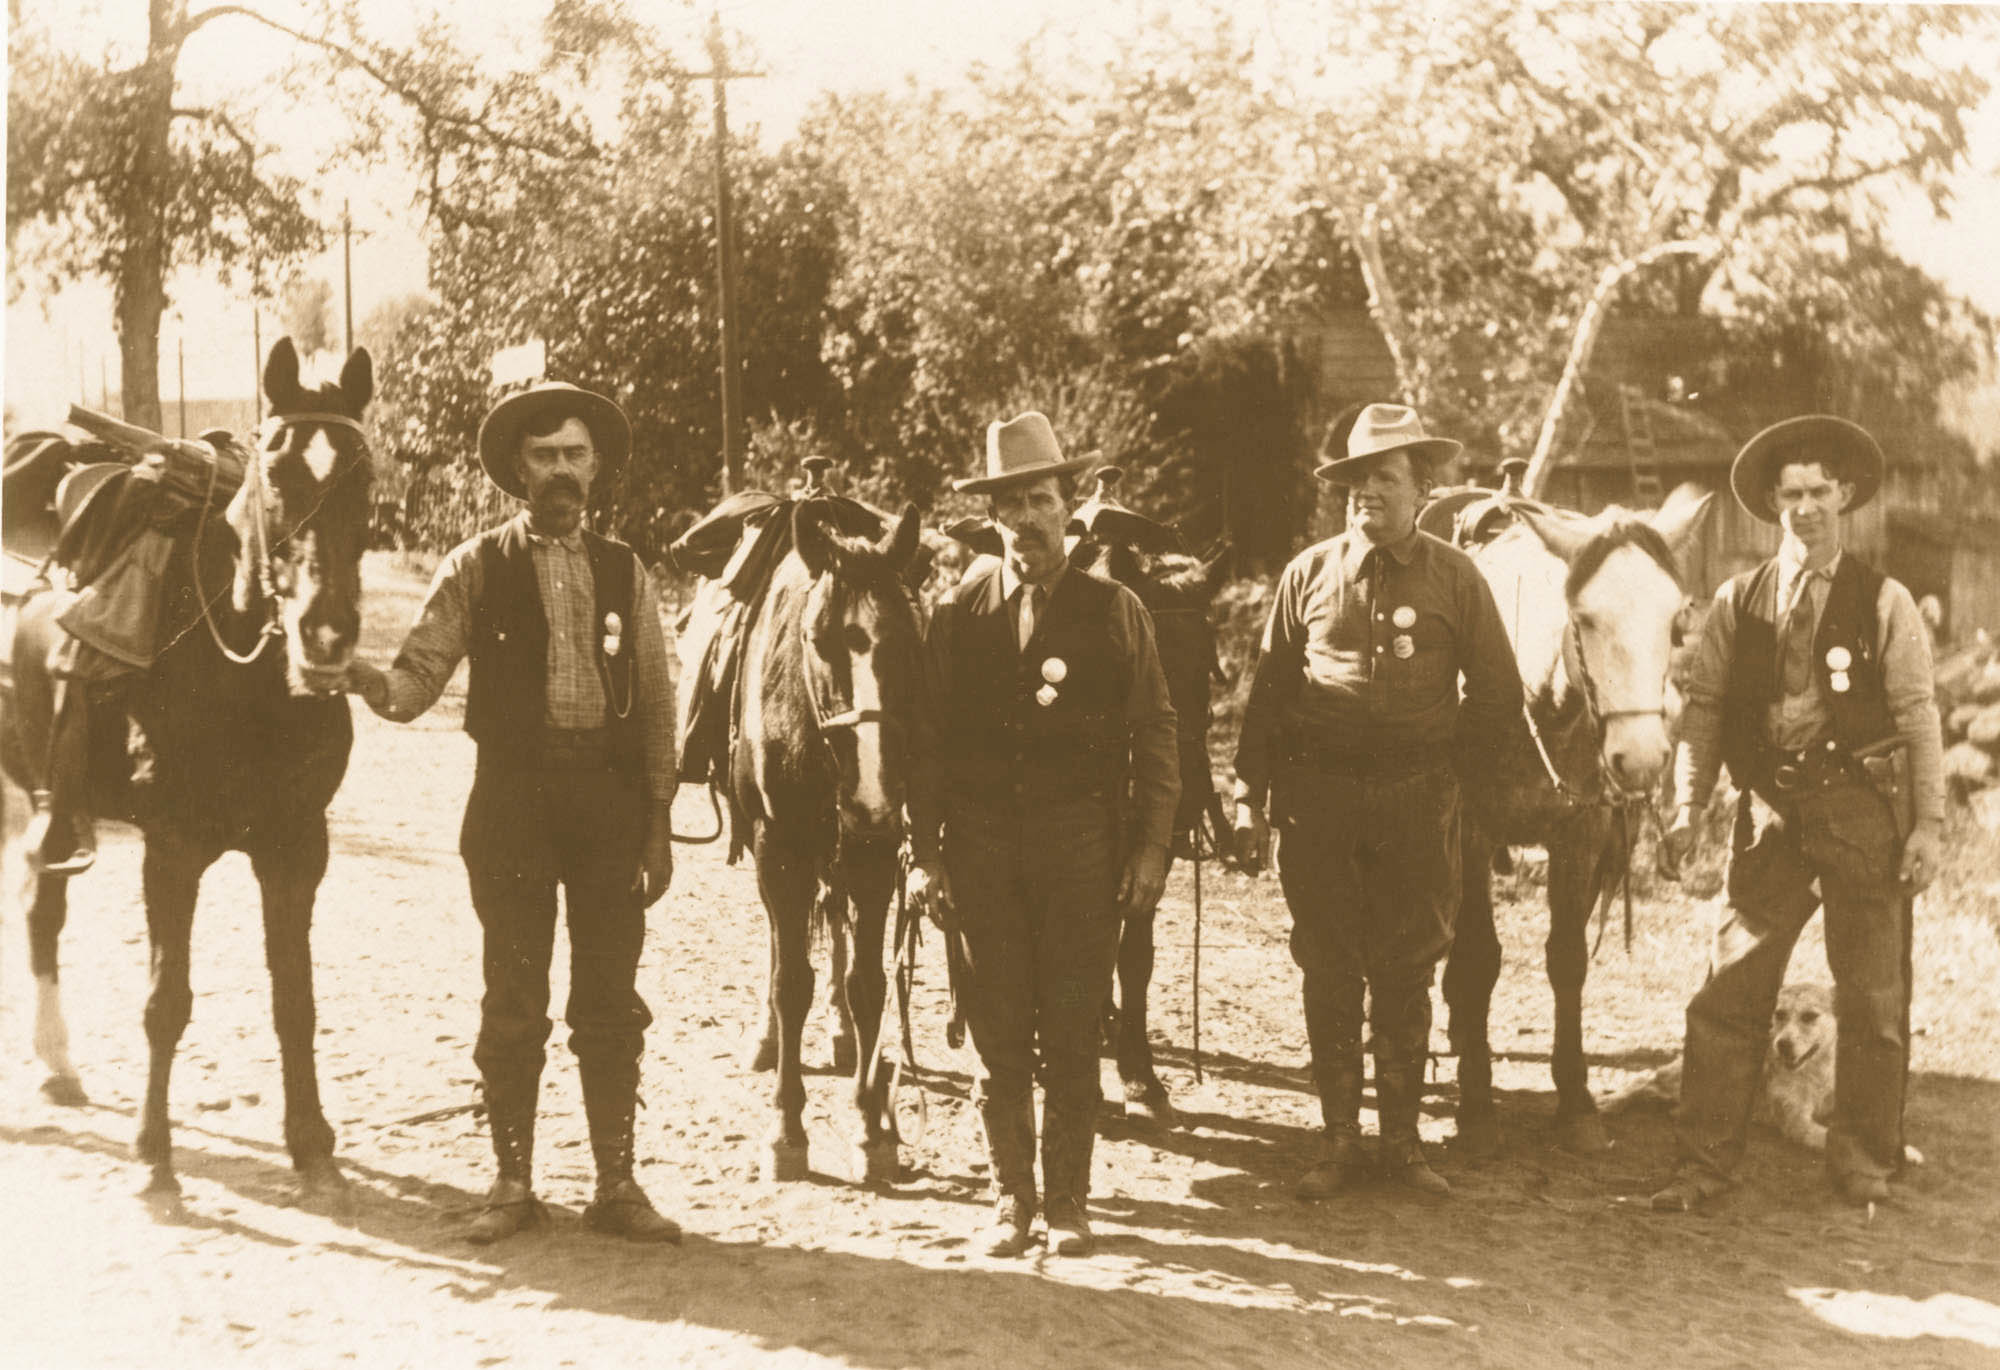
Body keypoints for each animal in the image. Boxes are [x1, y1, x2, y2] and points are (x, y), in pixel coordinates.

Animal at [2, 342, 376, 1200]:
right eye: (275, 477)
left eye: (366, 479)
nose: (327, 633)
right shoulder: (171, 849)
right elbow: (165, 1002)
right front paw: (155, 1156)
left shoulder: (296, 848)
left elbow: (296, 1000)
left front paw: (312, 1146)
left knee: (42, 903)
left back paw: (58, 1066)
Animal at [728, 496, 928, 1184]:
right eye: (817, 641)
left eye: (908, 639)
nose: (869, 794)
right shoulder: (779, 851)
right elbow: (791, 982)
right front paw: (787, 1130)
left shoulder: (873, 856)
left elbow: (866, 985)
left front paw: (872, 1128)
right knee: (780, 947)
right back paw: (767, 1039)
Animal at [1432, 484, 1712, 1152]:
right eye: (1584, 620)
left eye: (1676, 624)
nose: (1641, 757)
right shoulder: (1472, 829)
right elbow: (1479, 954)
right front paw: (1476, 1102)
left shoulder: (1580, 835)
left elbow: (1567, 959)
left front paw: (1576, 1102)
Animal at [1600, 976, 1912, 1160]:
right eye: (1779, 1014)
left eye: (1809, 1016)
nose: (1783, 1044)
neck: (1816, 1068)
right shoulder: (1797, 1123)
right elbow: (1831, 1137)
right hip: (1675, 1078)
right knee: (1642, 1081)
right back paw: (1611, 1103)